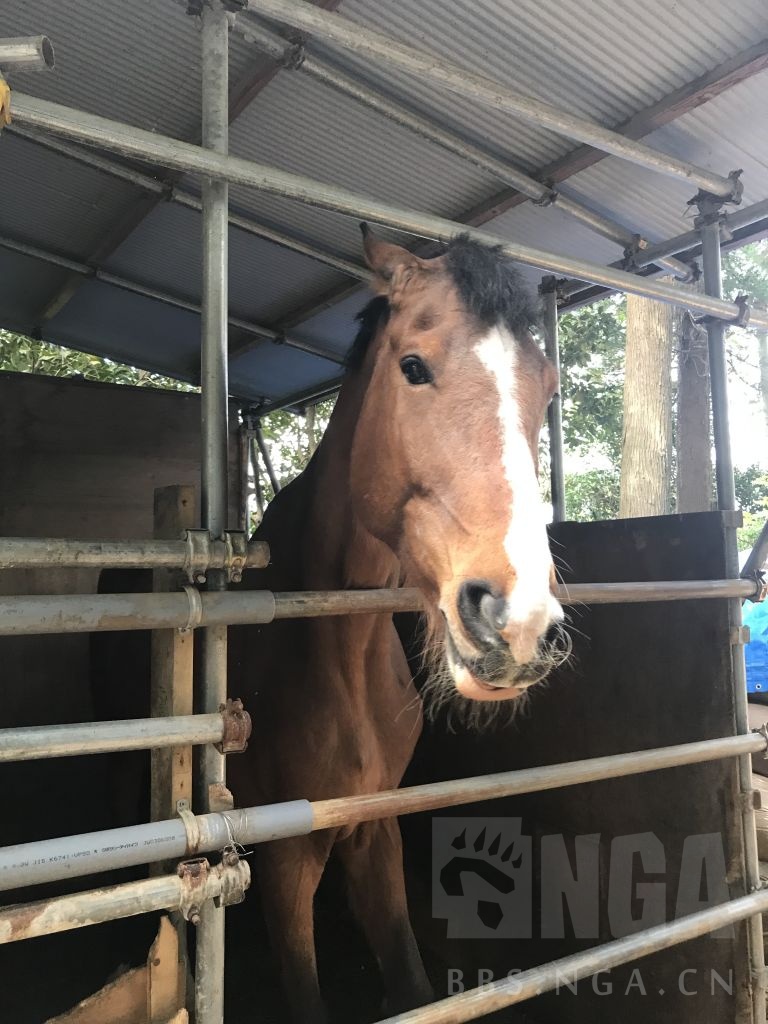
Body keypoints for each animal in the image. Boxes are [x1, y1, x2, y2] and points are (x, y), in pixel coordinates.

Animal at [227, 226, 566, 1022]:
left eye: (549, 389)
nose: (518, 621)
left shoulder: (377, 830)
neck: (337, 650)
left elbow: (412, 985)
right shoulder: (286, 860)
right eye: (413, 367)